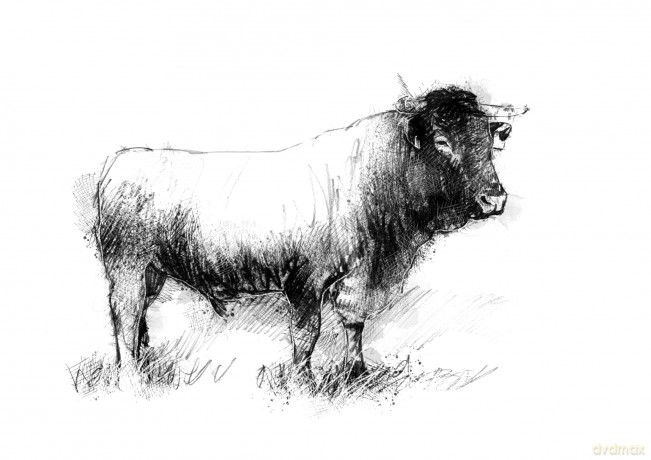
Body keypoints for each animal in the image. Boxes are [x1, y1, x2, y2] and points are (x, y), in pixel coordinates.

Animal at [95, 86, 526, 380]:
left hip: (152, 271)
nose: (494, 198)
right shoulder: (305, 280)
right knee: (125, 314)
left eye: (488, 142)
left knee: (139, 317)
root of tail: (123, 159)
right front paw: (303, 382)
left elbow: (354, 321)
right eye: (442, 142)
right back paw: (131, 377)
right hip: (128, 267)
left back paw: (140, 364)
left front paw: (356, 371)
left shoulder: (359, 274)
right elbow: (307, 334)